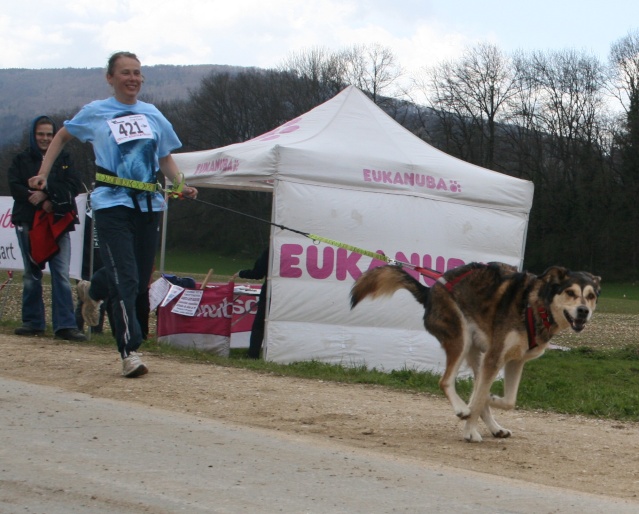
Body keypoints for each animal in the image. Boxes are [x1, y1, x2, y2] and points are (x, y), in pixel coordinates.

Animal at [350, 262, 600, 442]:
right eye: (570, 292)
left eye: (591, 296)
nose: (583, 311)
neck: (536, 304)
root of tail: (430, 290)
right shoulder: (495, 357)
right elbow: (480, 399)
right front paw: (469, 431)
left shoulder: (515, 361)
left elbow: (508, 401)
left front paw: (489, 401)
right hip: (461, 341)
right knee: (446, 381)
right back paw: (463, 409)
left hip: (477, 354)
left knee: (477, 389)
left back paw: (494, 427)